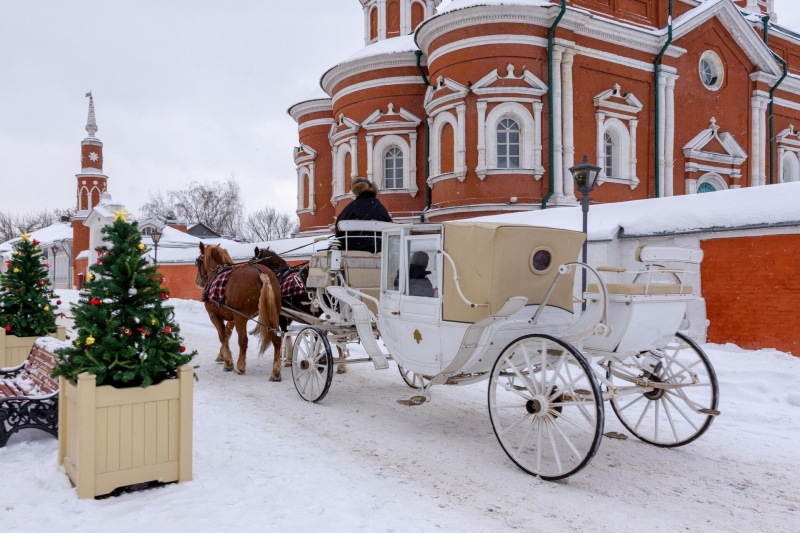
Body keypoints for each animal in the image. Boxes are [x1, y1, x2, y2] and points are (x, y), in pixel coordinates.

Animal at [195, 242, 282, 378]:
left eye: (198, 261)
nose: (197, 281)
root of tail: (261, 274)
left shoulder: (214, 315)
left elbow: (223, 336)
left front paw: (228, 362)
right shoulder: (233, 316)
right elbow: (227, 333)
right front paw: (222, 356)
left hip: (242, 317)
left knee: (243, 341)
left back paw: (240, 366)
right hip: (273, 315)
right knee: (277, 339)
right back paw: (276, 372)